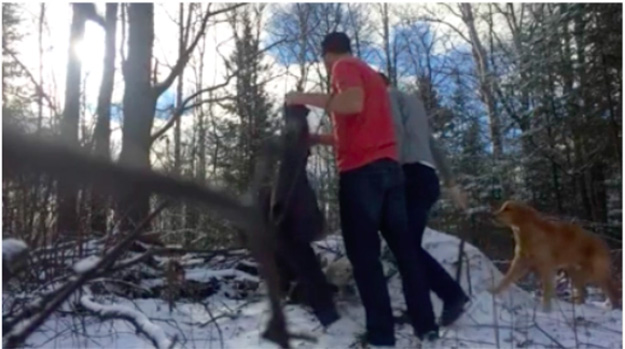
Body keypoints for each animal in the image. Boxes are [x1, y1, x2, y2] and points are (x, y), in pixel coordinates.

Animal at [492, 200, 620, 312]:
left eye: (508, 209)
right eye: (502, 207)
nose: (493, 215)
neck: (528, 233)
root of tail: (603, 242)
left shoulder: (547, 267)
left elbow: (547, 291)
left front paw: (546, 310)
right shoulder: (520, 263)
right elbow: (506, 279)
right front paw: (494, 292)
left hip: (597, 273)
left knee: (612, 291)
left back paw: (614, 307)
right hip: (576, 274)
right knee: (583, 293)